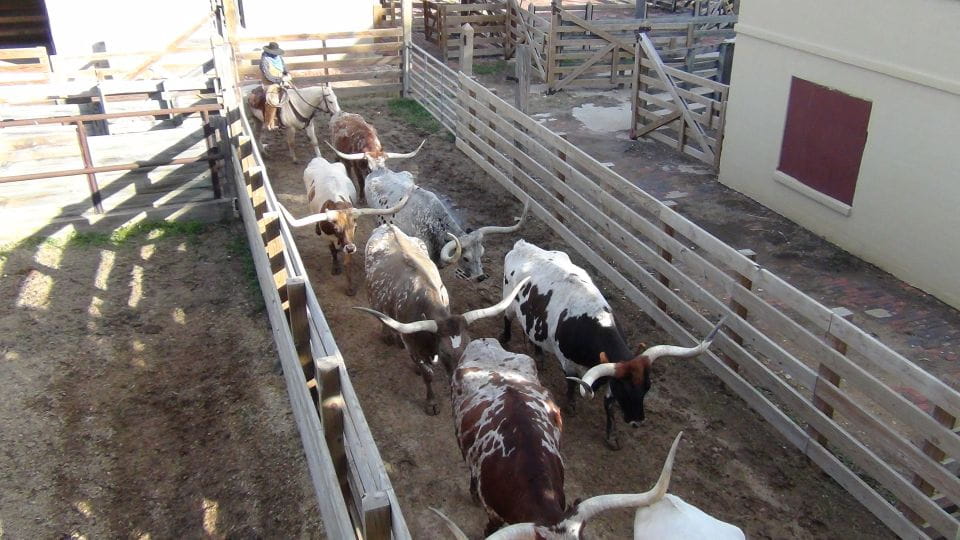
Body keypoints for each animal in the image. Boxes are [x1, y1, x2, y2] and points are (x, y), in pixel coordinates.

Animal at [277, 158, 414, 296]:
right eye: (336, 229)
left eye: (355, 227)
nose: (351, 248)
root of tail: (320, 159)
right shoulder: (328, 237)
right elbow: (332, 251)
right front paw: (336, 268)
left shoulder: (349, 241)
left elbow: (348, 262)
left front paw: (350, 287)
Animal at [355, 224, 530, 414]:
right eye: (445, 352)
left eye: (467, 347)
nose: (461, 379)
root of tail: (388, 226)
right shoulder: (413, 347)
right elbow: (428, 375)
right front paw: (431, 402)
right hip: (374, 298)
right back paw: (388, 336)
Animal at [500, 239, 725, 449]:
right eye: (625, 390)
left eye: (647, 387)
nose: (637, 422)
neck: (589, 321)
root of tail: (522, 245)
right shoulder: (568, 362)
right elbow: (571, 383)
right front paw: (571, 405)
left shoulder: (609, 374)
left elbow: (608, 404)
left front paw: (612, 436)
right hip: (509, 302)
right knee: (507, 319)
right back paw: (505, 339)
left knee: (533, 335)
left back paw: (539, 355)